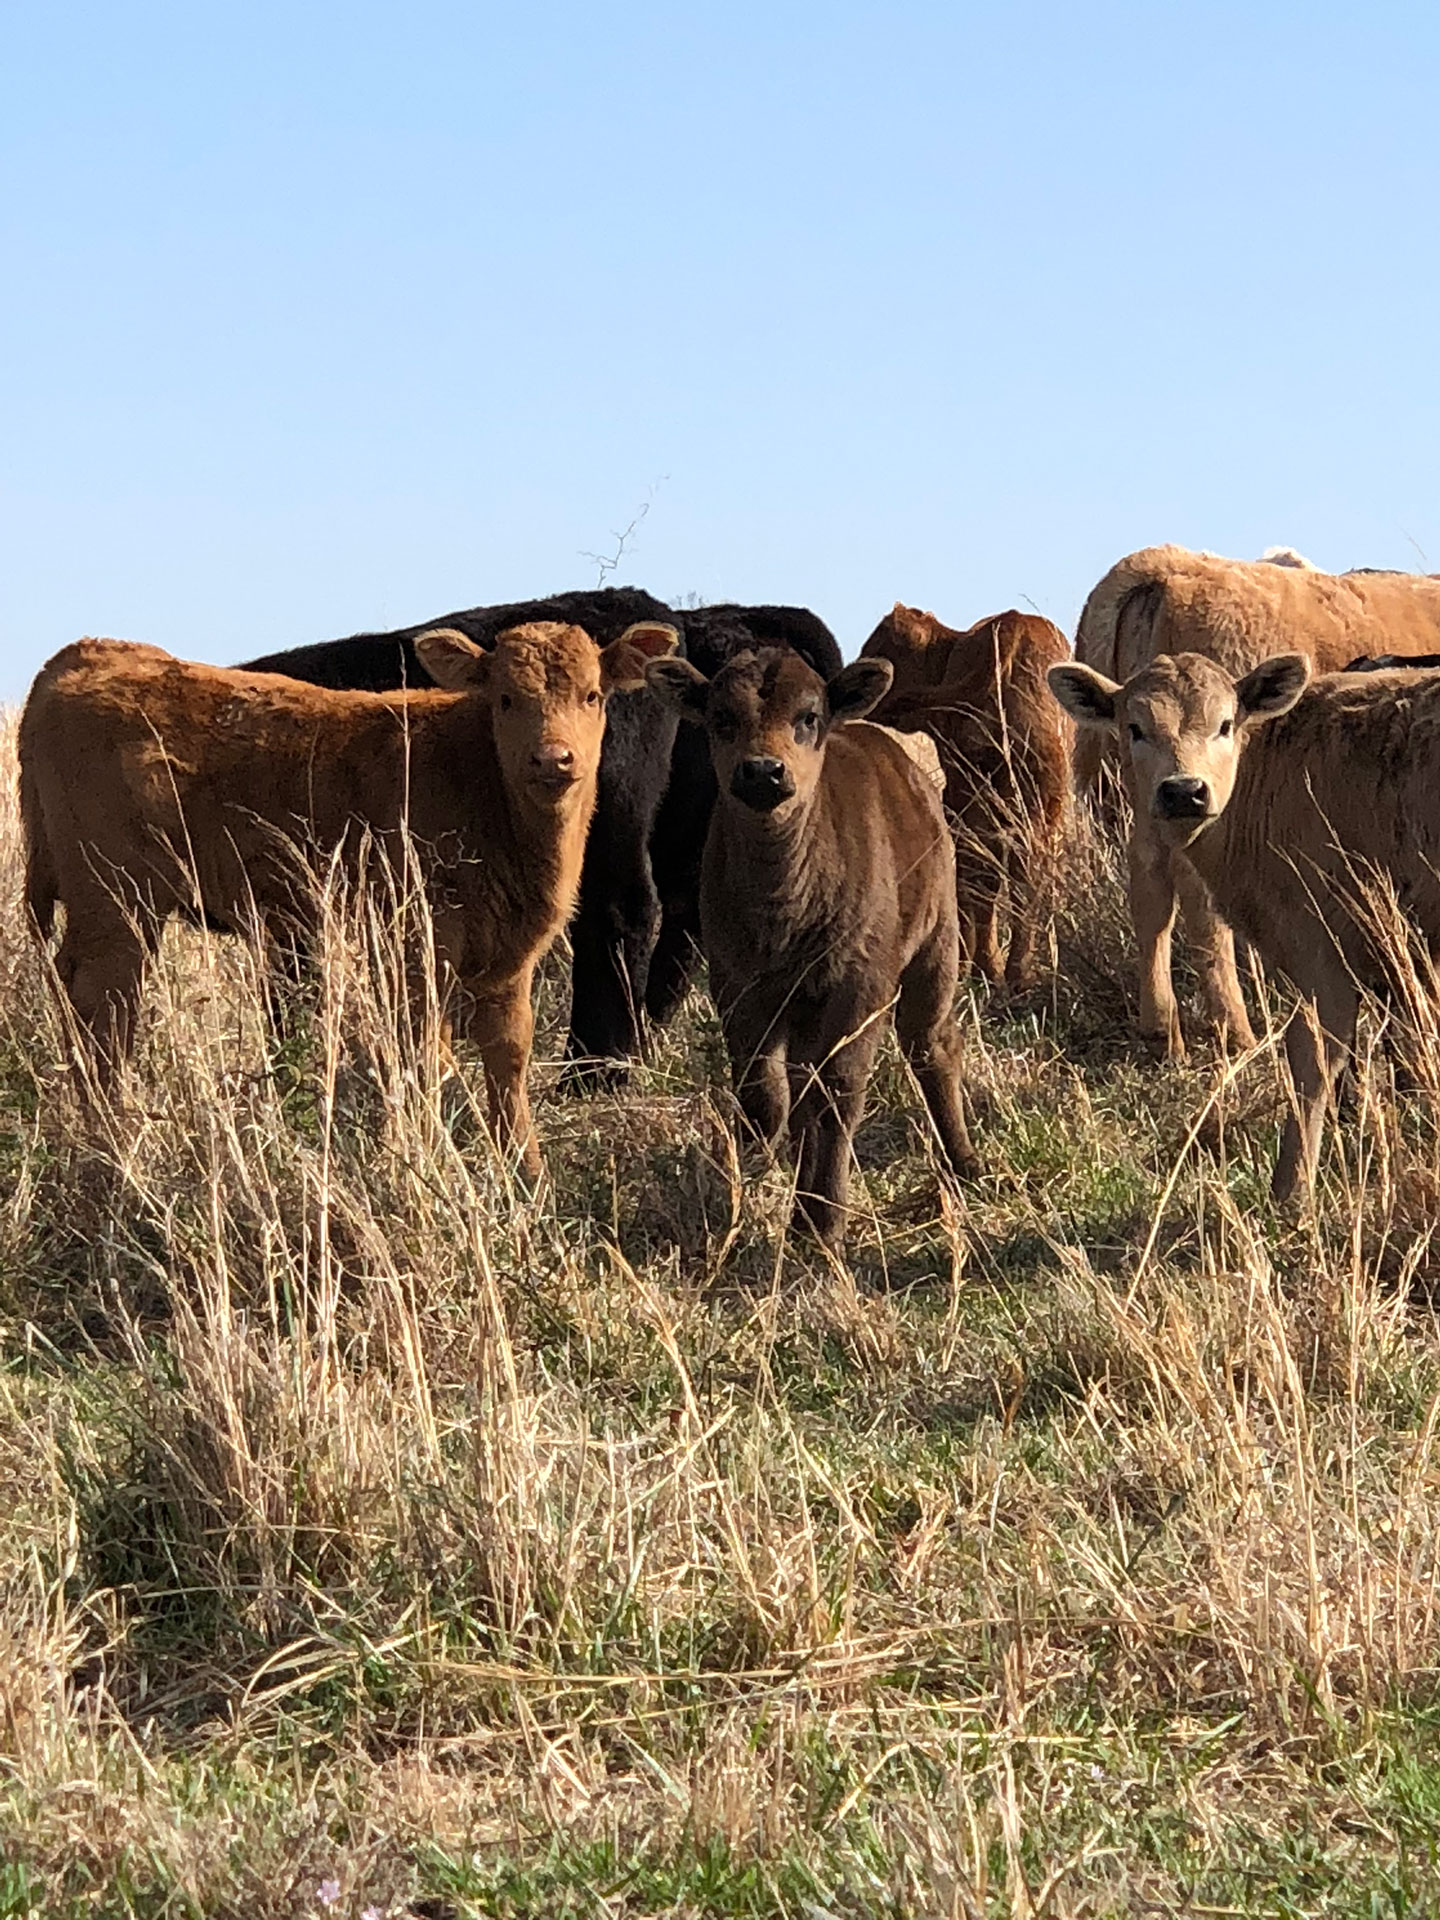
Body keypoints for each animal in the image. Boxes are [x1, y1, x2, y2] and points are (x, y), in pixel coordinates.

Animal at [20, 620, 679, 1173]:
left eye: (592, 695)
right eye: (506, 699)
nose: (552, 759)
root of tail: (86, 653)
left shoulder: (508, 958)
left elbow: (508, 1060)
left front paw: (526, 1173)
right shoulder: (417, 946)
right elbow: (427, 1055)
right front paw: (426, 1159)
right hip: (119, 907)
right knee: (106, 1011)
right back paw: (115, 1142)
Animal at [647, 646, 980, 1249]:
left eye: (809, 717)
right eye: (722, 719)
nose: (762, 770)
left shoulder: (861, 986)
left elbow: (838, 1094)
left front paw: (824, 1222)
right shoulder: (737, 985)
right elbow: (766, 1094)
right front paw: (783, 1200)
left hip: (937, 940)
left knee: (932, 1043)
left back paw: (963, 1162)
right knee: (803, 1083)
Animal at [860, 604, 1071, 992]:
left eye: (876, 648)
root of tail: (1011, 627)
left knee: (989, 870)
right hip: (1033, 798)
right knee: (1013, 871)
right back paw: (1010, 972)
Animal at [1048, 649, 1440, 1200]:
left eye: (1225, 724)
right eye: (1135, 728)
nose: (1183, 791)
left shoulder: (1326, 950)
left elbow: (1312, 1060)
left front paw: (1291, 1192)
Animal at [1072, 547, 1440, 1059]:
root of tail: (1164, 568)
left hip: (1150, 796)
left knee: (1150, 889)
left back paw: (1162, 1030)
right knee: (1201, 905)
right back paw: (1236, 1028)